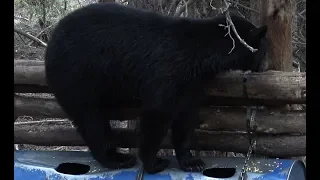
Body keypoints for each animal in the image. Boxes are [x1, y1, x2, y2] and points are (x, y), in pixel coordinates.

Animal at [45, 3, 268, 174]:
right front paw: (154, 163)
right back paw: (117, 158)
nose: (264, 67)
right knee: (91, 119)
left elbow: (185, 116)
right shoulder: (167, 73)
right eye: (263, 51)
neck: (201, 55)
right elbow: (157, 113)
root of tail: (51, 40)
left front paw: (191, 161)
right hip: (76, 75)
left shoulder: (191, 82)